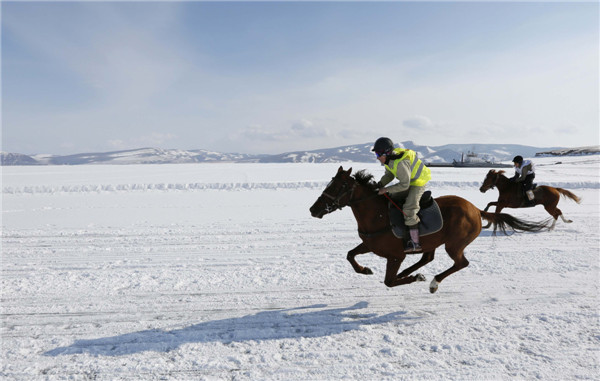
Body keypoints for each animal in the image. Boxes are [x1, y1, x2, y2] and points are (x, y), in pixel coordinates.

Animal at [312, 166, 552, 294]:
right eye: (330, 183)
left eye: (339, 186)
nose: (313, 209)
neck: (377, 214)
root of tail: (475, 209)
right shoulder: (369, 243)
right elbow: (350, 255)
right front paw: (365, 269)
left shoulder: (395, 256)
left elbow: (389, 281)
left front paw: (415, 278)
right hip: (434, 241)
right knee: (427, 257)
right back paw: (411, 273)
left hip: (454, 244)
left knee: (461, 263)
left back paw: (433, 282)